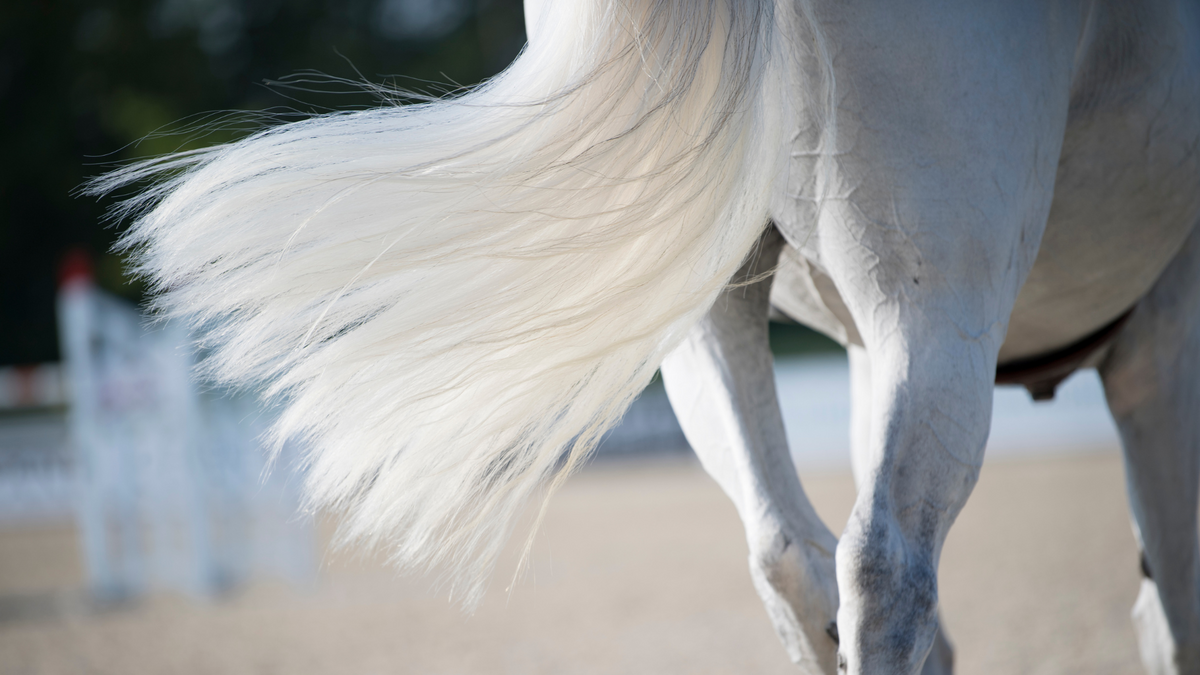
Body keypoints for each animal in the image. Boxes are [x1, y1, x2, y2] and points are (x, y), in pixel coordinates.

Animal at [89, 0, 1200, 673]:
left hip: (717, 312)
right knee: (882, 568)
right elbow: (1177, 600)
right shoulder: (1160, 347)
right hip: (931, 310)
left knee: (794, 557)